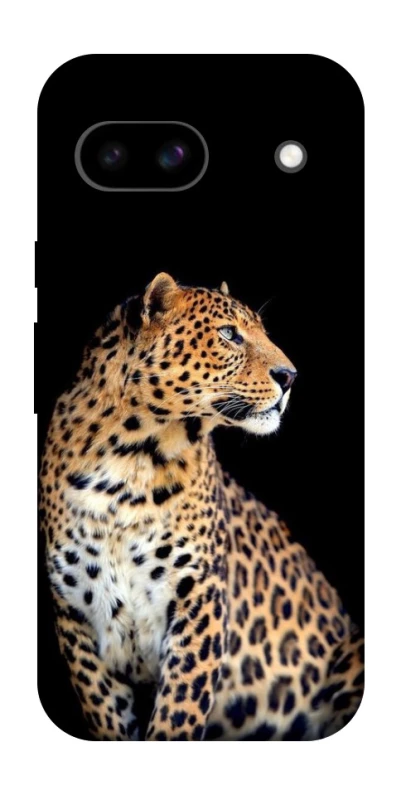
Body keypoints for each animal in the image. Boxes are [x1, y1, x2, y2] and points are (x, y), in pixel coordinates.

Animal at [39, 272, 364, 741]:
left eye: (262, 331)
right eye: (229, 334)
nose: (290, 376)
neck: (129, 460)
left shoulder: (199, 599)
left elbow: (178, 712)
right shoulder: (75, 617)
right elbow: (108, 714)